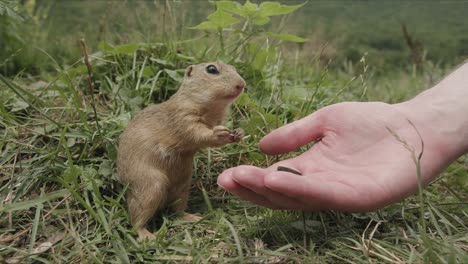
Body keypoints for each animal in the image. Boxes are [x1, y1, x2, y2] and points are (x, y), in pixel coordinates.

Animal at [117, 60, 245, 240]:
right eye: (211, 69)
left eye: (233, 68)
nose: (242, 84)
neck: (211, 107)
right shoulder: (184, 117)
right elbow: (198, 133)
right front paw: (218, 133)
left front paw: (239, 133)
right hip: (149, 187)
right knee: (136, 220)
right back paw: (147, 236)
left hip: (182, 187)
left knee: (176, 211)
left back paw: (192, 217)